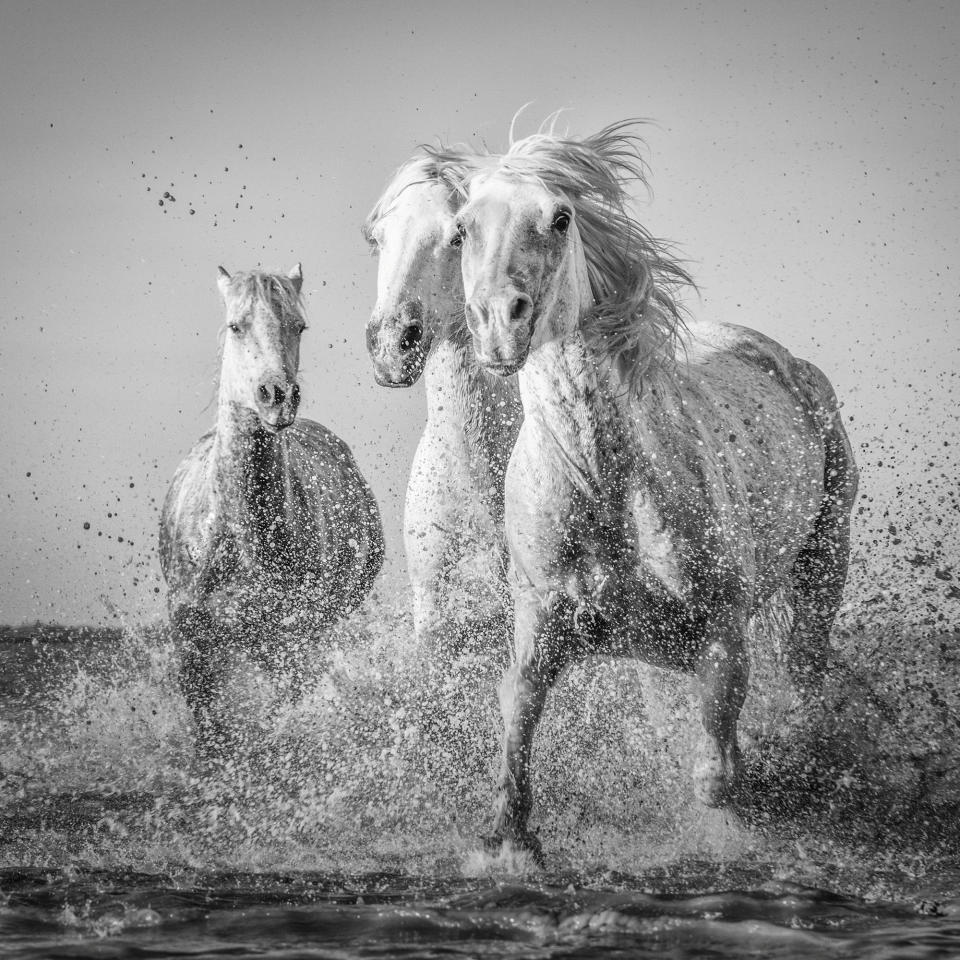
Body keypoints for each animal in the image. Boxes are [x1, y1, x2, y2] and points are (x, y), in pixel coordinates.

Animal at [161, 266, 382, 752]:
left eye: (298, 326)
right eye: (235, 326)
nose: (277, 394)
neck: (239, 535)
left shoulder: (291, 644)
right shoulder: (191, 646)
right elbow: (210, 733)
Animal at [454, 124, 860, 860]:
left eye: (559, 217)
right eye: (463, 229)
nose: (499, 324)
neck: (602, 482)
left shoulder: (723, 631)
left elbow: (716, 770)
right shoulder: (539, 625)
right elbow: (518, 710)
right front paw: (508, 840)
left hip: (825, 557)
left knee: (806, 671)